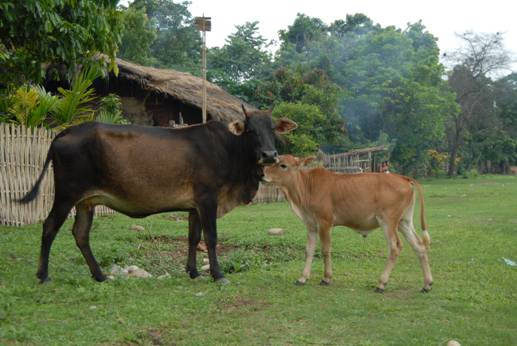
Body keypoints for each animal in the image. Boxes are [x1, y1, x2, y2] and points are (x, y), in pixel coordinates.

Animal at [19, 108, 294, 284]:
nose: (270, 155)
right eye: (250, 130)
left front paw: (193, 272)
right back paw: (43, 275)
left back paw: (100, 275)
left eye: (272, 129)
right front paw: (218, 275)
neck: (230, 149)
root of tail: (65, 132)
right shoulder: (208, 199)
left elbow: (193, 238)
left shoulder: (194, 205)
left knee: (81, 234)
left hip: (87, 202)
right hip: (67, 194)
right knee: (49, 227)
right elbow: (211, 238)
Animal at [262, 155, 432, 294]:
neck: (306, 188)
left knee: (395, 247)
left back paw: (381, 284)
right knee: (419, 246)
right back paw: (427, 284)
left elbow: (325, 250)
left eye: (283, 165)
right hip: (404, 222)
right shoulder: (311, 225)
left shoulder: (325, 222)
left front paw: (326, 278)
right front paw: (303, 278)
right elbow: (308, 250)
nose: (262, 174)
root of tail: (404, 178)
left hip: (388, 221)